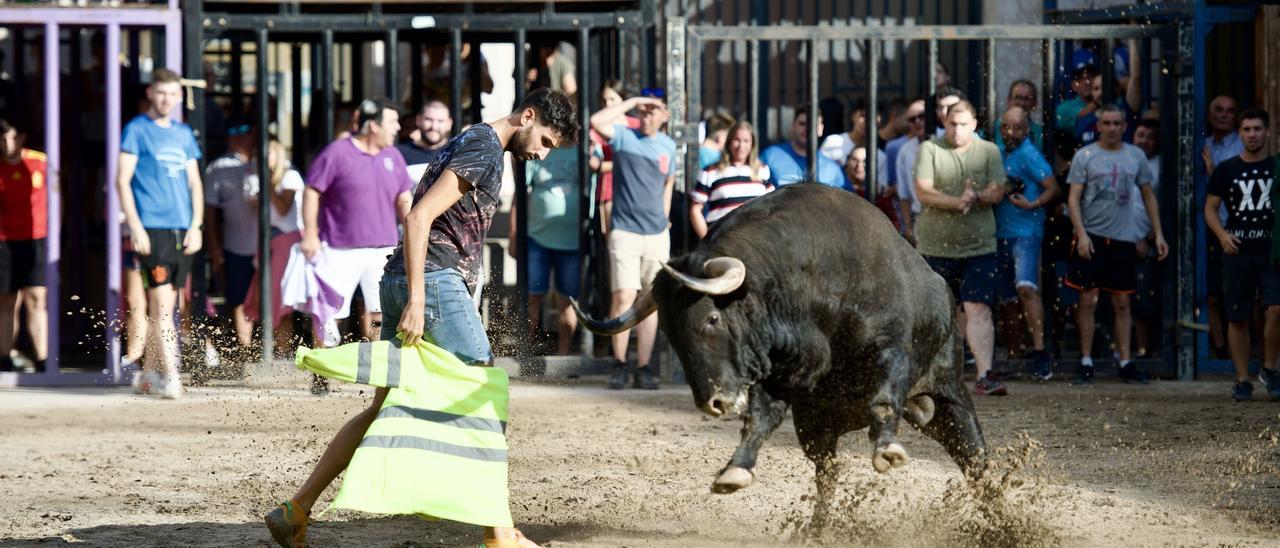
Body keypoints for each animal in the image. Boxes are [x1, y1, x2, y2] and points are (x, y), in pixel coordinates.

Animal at [578, 183, 988, 527]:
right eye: (670, 331)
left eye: (712, 318)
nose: (713, 401)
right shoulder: (782, 380)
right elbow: (760, 419)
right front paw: (735, 470)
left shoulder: (893, 350)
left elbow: (885, 397)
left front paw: (887, 448)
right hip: (819, 425)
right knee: (828, 472)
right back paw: (818, 527)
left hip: (950, 395)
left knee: (975, 459)